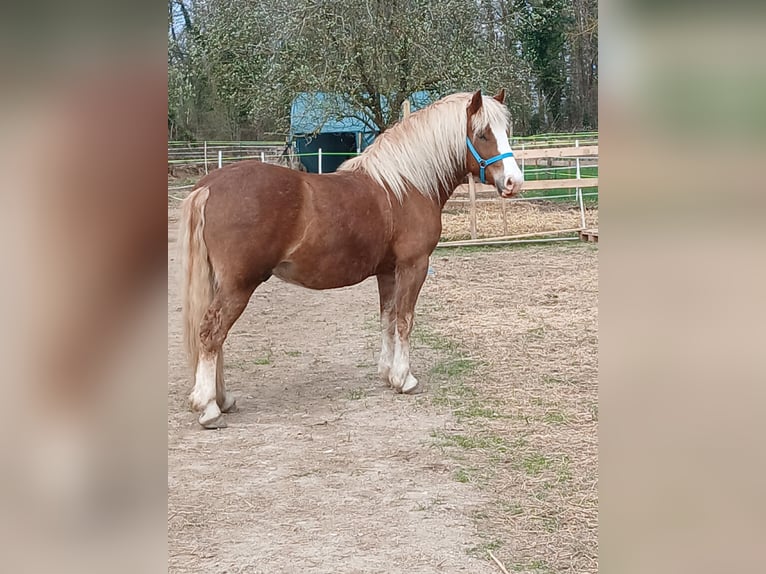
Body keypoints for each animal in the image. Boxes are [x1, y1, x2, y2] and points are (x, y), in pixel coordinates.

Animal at [178, 89, 524, 428]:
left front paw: (387, 374)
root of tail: (208, 187)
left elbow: (387, 318)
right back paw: (209, 407)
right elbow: (405, 319)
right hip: (238, 286)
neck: (405, 186)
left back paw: (223, 399)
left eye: (505, 132)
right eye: (482, 134)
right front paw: (405, 379)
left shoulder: (387, 271)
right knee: (211, 333)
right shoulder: (414, 266)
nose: (513, 182)